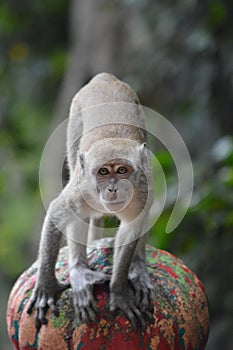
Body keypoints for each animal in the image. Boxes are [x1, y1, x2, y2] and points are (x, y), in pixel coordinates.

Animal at [27, 72, 155, 330]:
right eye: (103, 172)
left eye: (123, 170)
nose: (113, 189)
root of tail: (104, 78)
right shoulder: (81, 189)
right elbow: (57, 214)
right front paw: (46, 285)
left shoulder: (143, 191)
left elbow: (132, 228)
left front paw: (118, 290)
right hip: (75, 118)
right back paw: (80, 271)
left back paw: (137, 265)